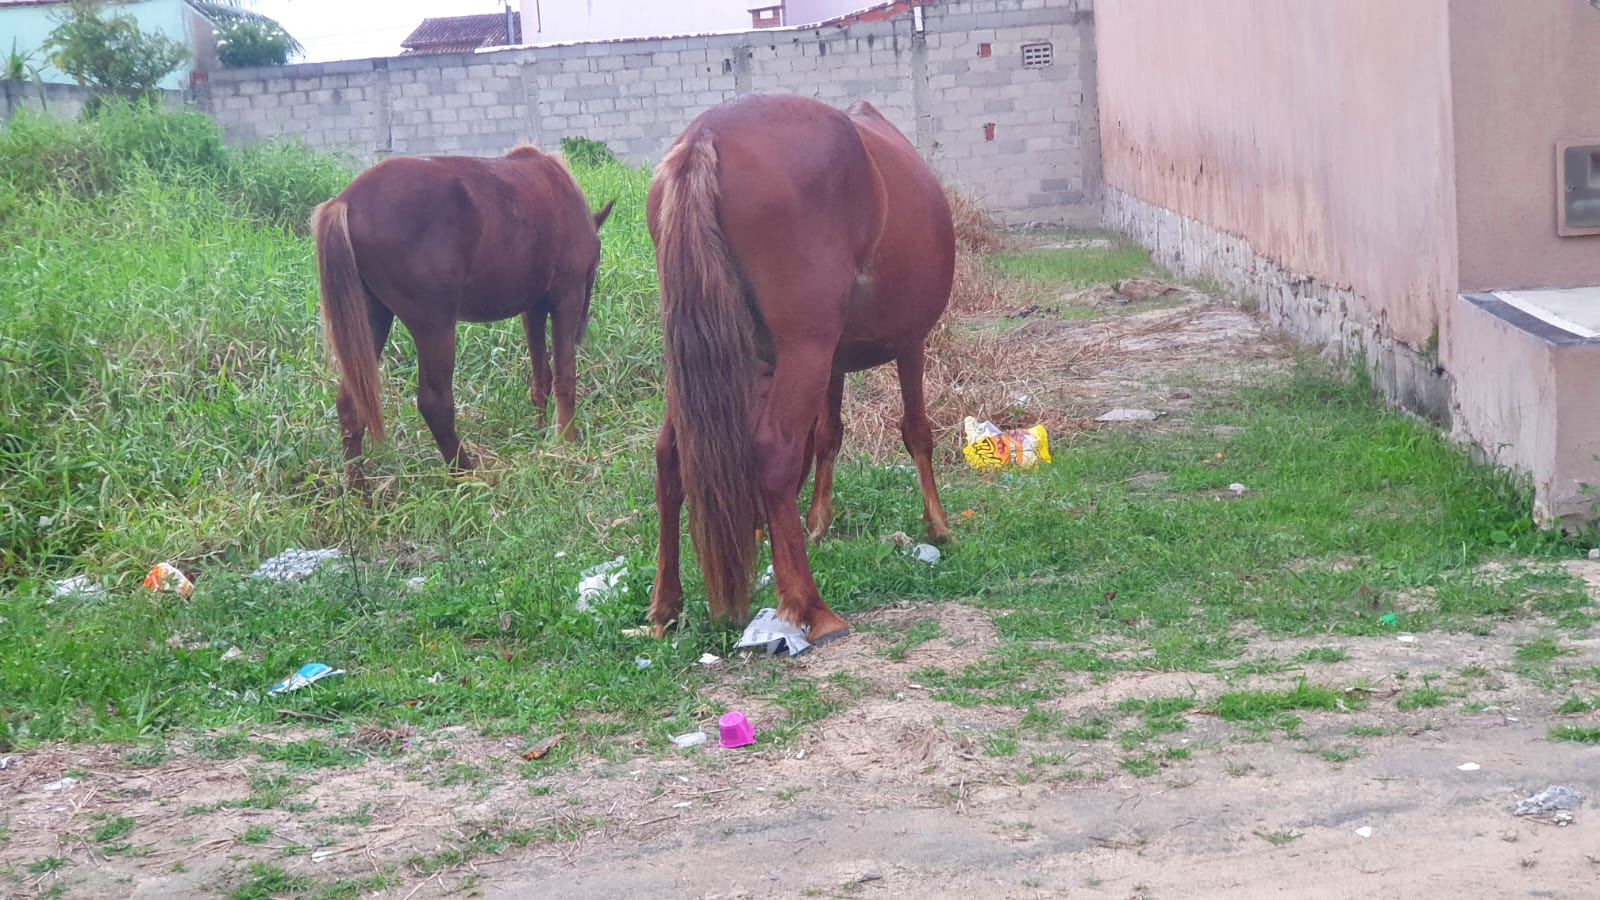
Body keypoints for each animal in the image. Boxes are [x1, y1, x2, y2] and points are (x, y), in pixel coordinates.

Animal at [310, 147, 611, 483]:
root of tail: (345, 201)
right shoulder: (566, 298)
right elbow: (565, 378)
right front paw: (566, 444)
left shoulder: (532, 308)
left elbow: (541, 377)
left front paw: (541, 433)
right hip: (434, 325)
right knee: (435, 403)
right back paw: (465, 475)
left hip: (371, 317)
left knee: (350, 403)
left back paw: (357, 488)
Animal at [646, 94, 953, 640]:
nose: (753, 528)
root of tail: (706, 134)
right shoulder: (908, 342)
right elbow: (916, 430)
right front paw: (937, 525)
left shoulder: (831, 361)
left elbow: (828, 434)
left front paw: (818, 521)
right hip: (805, 348)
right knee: (773, 452)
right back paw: (811, 607)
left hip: (694, 359)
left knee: (670, 457)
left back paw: (666, 607)